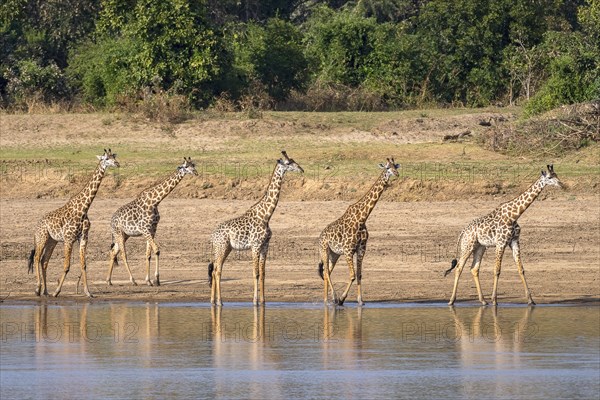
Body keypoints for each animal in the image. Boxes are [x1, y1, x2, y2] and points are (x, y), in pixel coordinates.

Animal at [28, 149, 120, 296]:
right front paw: (57, 292)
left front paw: (88, 292)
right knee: (37, 258)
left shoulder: (83, 238)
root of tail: (36, 226)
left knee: (44, 261)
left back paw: (45, 291)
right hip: (42, 238)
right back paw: (38, 289)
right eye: (106, 158)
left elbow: (84, 265)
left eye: (114, 157)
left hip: (52, 241)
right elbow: (66, 266)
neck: (84, 208)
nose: (117, 164)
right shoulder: (68, 239)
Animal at [106, 158, 198, 286]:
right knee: (123, 254)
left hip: (125, 235)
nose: (195, 172)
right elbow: (157, 250)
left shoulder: (152, 229)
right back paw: (132, 280)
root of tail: (111, 220)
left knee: (113, 252)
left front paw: (149, 280)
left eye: (193, 165)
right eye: (185, 166)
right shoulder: (144, 229)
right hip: (118, 233)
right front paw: (156, 280)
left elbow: (148, 254)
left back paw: (109, 280)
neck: (155, 202)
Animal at [210, 152, 304, 304]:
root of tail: (212, 236)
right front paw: (255, 300)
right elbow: (255, 273)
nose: (301, 169)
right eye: (288, 163)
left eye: (293, 160)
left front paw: (263, 300)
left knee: (215, 270)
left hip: (226, 248)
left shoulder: (265, 245)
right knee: (217, 271)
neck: (266, 216)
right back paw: (220, 301)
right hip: (222, 246)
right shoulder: (255, 245)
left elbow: (263, 273)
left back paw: (213, 300)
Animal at [318, 158, 398, 304]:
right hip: (324, 251)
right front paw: (342, 298)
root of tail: (320, 237)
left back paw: (327, 299)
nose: (396, 173)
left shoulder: (361, 249)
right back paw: (334, 297)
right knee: (326, 272)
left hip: (334, 255)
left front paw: (361, 301)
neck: (362, 219)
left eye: (396, 166)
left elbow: (359, 275)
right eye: (387, 167)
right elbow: (352, 275)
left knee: (327, 273)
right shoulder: (348, 250)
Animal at [446, 164, 568, 304]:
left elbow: (521, 269)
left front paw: (530, 300)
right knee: (459, 267)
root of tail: (463, 231)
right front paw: (494, 300)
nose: (562, 185)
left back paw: (483, 301)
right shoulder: (501, 243)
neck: (513, 215)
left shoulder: (514, 241)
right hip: (468, 245)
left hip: (480, 247)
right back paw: (451, 300)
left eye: (556, 175)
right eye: (549, 177)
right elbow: (497, 270)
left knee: (474, 269)